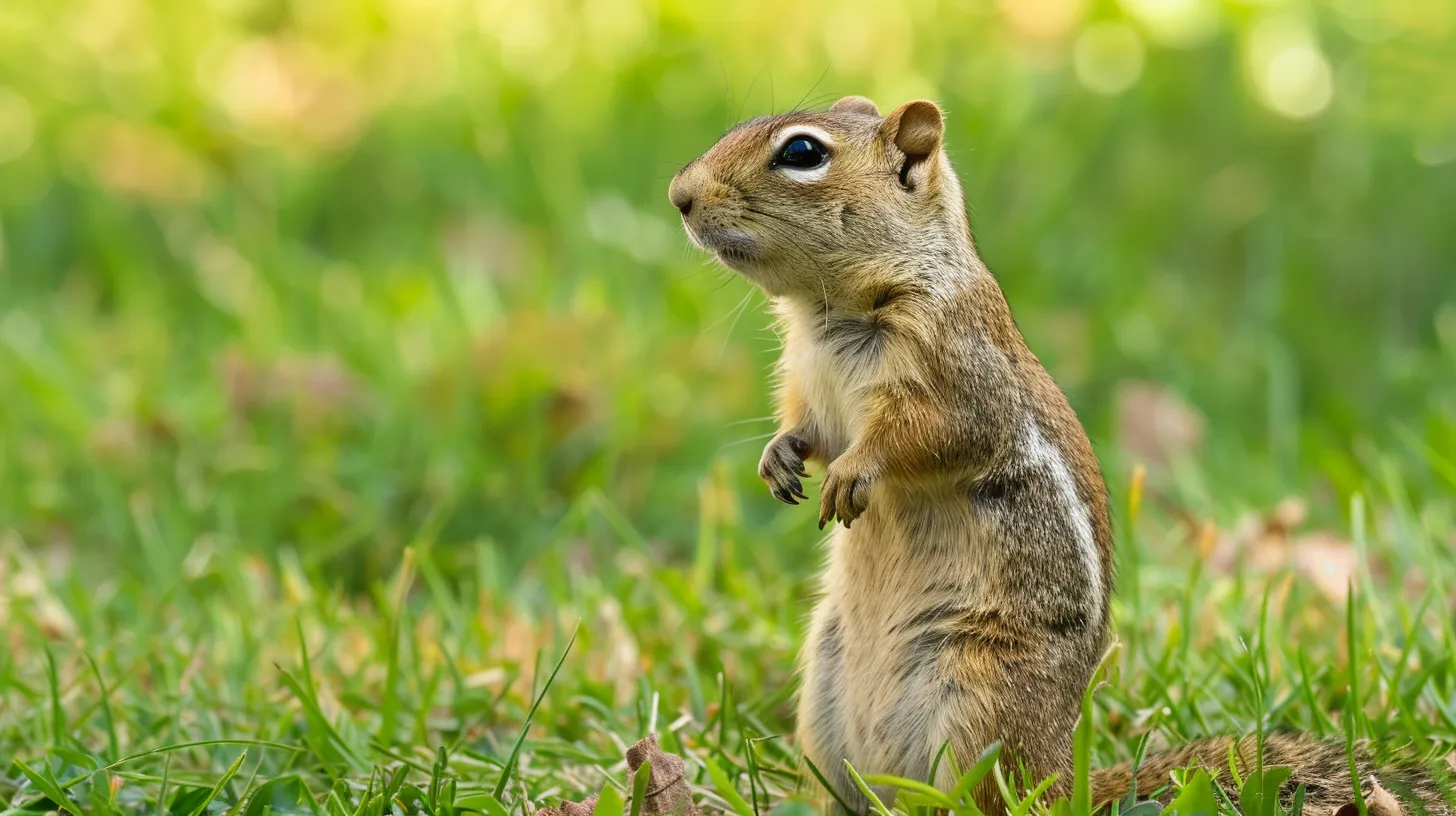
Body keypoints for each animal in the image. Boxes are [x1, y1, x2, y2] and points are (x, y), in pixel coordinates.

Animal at [666, 92, 1444, 810]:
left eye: (801, 153)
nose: (679, 195)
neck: (828, 311)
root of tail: (1063, 780)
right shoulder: (812, 387)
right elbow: (811, 431)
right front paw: (779, 459)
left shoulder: (959, 379)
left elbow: (920, 438)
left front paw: (857, 471)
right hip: (826, 694)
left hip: (979, 698)